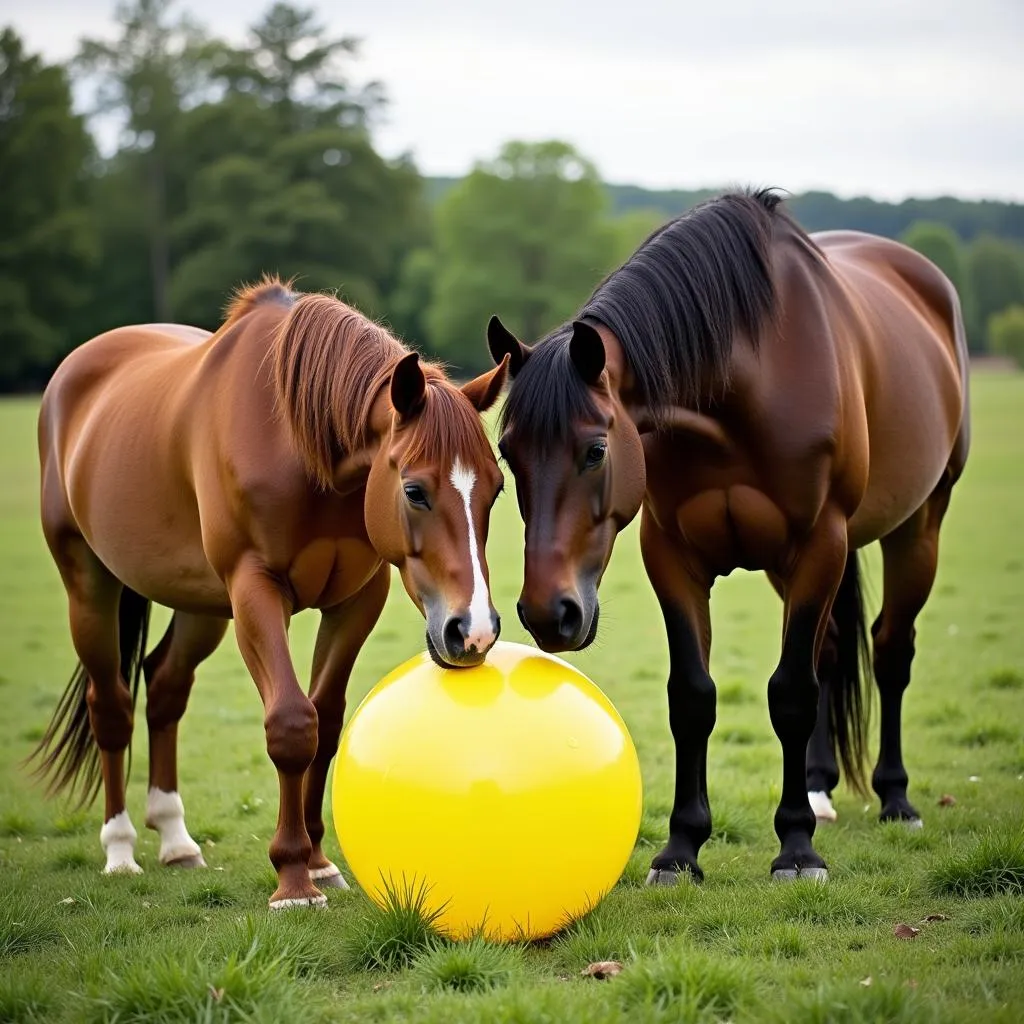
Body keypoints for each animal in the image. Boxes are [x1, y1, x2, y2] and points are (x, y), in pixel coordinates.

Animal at [32, 278, 507, 905]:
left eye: (497, 488)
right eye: (414, 490)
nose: (471, 631)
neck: (300, 448)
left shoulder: (357, 599)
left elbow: (325, 723)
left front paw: (319, 861)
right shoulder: (254, 589)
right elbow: (291, 723)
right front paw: (293, 879)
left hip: (201, 604)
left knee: (165, 687)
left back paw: (176, 840)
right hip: (89, 585)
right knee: (110, 703)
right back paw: (120, 849)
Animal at [487, 193, 966, 888]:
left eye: (596, 450)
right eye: (508, 454)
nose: (550, 613)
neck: (745, 388)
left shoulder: (819, 543)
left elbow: (791, 694)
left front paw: (796, 851)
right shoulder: (671, 555)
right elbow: (693, 696)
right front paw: (681, 849)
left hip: (918, 528)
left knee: (890, 651)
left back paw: (896, 799)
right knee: (829, 651)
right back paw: (819, 789)